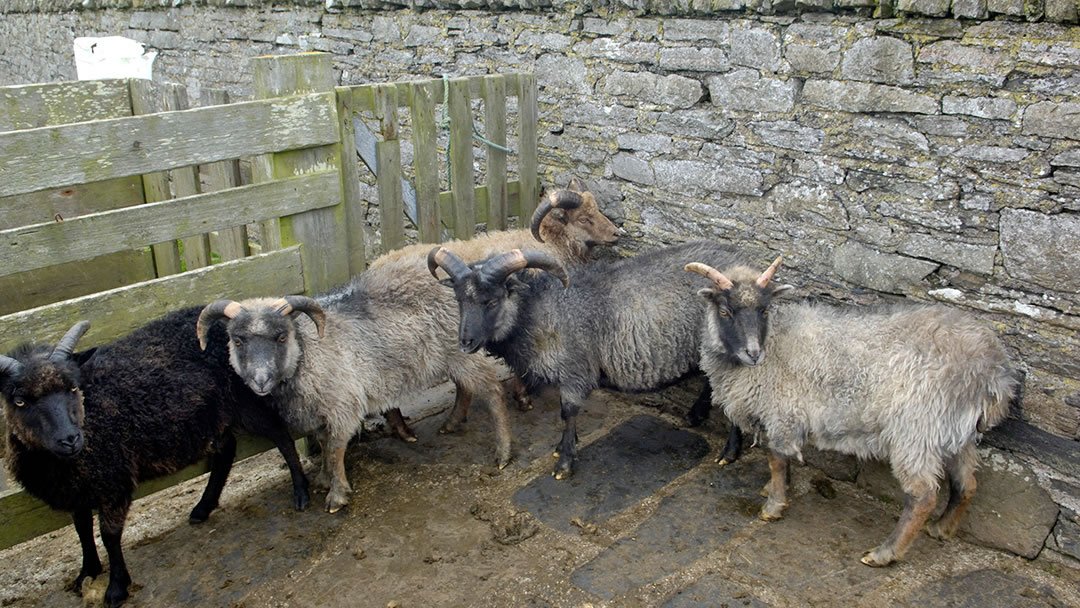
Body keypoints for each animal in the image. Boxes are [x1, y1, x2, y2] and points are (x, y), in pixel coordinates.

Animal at [1, 313, 313, 608]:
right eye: (19, 400)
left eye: (74, 388)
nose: (69, 439)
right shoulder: (78, 487)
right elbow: (82, 530)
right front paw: (86, 573)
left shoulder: (115, 479)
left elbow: (109, 535)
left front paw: (116, 587)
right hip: (212, 412)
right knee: (226, 450)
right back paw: (203, 507)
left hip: (245, 399)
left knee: (280, 434)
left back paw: (300, 491)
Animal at [369, 177, 622, 442]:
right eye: (583, 218)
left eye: (597, 210)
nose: (617, 234)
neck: (551, 244)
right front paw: (523, 397)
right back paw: (408, 430)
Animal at [425, 242, 747, 481]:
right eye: (459, 299)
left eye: (491, 301)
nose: (465, 342)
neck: (537, 311)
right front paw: (562, 449)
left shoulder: (575, 370)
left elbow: (567, 412)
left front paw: (565, 462)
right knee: (709, 380)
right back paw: (695, 415)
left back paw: (729, 453)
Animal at [686, 255, 1015, 565]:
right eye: (725, 311)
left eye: (765, 310)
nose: (753, 354)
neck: (775, 341)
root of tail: (993, 369)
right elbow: (783, 461)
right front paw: (772, 489)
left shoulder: (783, 411)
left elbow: (776, 459)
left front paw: (773, 506)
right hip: (956, 433)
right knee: (967, 483)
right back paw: (942, 529)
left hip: (917, 432)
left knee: (922, 496)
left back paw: (885, 553)